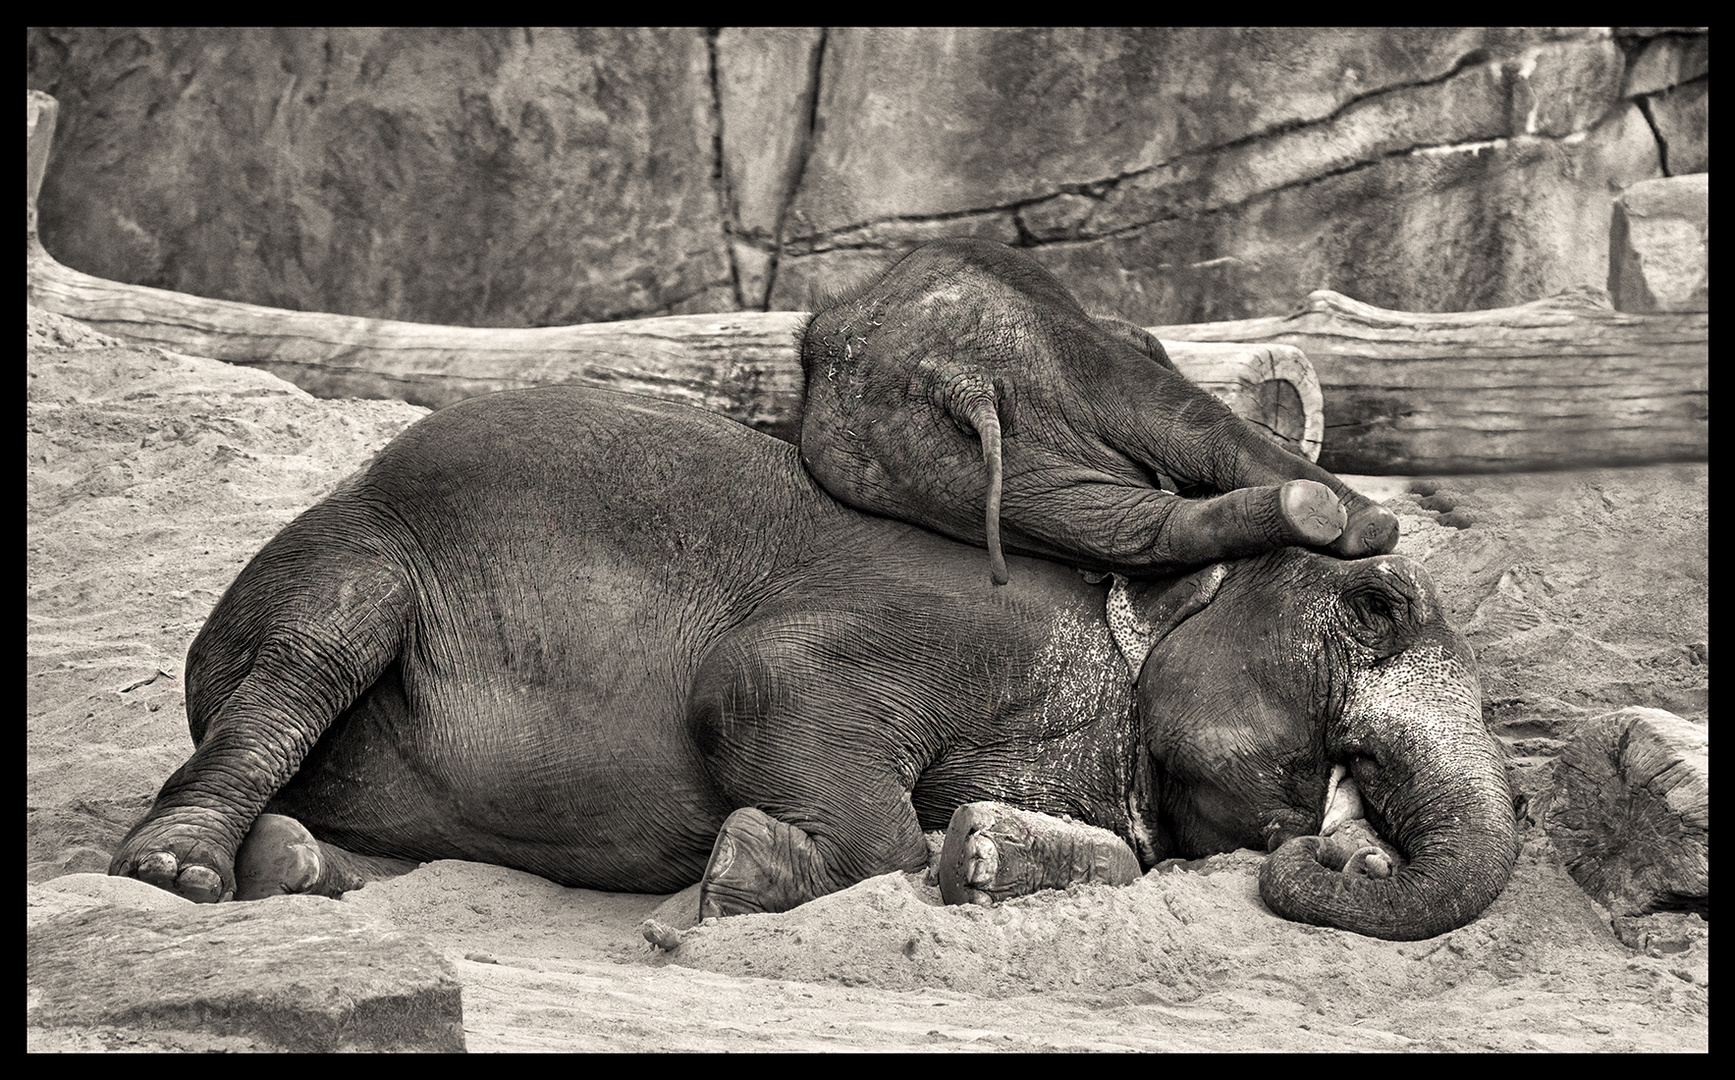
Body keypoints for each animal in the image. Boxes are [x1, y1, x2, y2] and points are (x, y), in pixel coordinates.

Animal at [111, 387, 1519, 937]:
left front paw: (994, 856)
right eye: (1379, 604)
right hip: (359, 550)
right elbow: (761, 687)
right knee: (309, 657)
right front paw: (748, 868)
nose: (1343, 853)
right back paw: (183, 872)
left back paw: (295, 868)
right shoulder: (948, 620)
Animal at [794, 241, 1394, 586]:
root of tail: (955, 377)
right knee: (1195, 430)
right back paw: (1362, 526)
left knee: (1130, 525)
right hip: (1055, 354)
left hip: (924, 466)